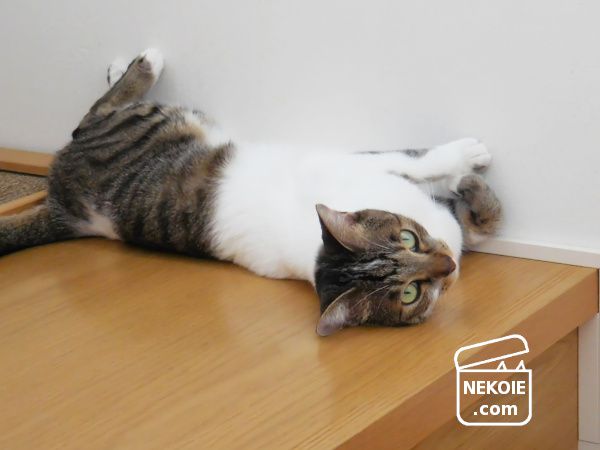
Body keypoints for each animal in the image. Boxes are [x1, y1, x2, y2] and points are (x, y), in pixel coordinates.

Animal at [0, 48, 502, 336]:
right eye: (411, 294)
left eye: (409, 239)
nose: (448, 266)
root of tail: (61, 204)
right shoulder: (349, 161)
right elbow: (419, 158)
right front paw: (467, 158)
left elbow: (477, 224)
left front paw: (469, 195)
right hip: (145, 123)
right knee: (95, 113)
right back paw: (142, 63)